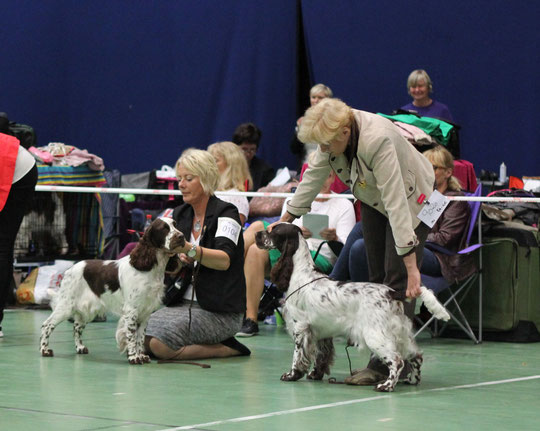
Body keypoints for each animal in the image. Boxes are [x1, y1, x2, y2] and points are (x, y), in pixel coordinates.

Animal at [40, 217, 185, 364]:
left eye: (175, 224)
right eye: (164, 228)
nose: (182, 236)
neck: (151, 268)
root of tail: (70, 269)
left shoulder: (146, 312)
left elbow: (140, 338)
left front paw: (142, 356)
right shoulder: (131, 311)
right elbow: (132, 337)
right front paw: (134, 357)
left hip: (86, 311)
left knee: (76, 327)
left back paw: (80, 348)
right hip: (66, 306)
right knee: (47, 325)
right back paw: (44, 350)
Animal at [255, 223, 450, 392]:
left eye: (273, 231)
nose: (257, 233)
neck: (300, 272)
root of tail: (392, 293)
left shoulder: (300, 327)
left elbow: (298, 356)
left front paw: (292, 375)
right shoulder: (321, 331)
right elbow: (321, 356)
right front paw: (315, 375)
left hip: (375, 335)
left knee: (397, 360)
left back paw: (386, 386)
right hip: (401, 334)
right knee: (417, 357)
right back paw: (412, 380)